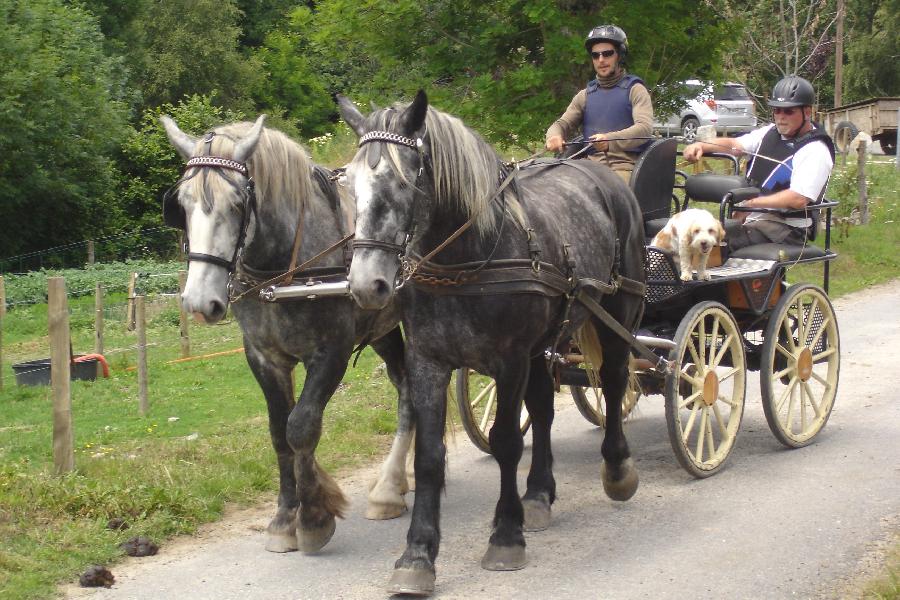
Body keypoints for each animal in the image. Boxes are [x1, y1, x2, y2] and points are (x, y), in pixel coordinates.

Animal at [161, 115, 412, 556]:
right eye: (183, 205)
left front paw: (312, 519)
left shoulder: (331, 351)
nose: (199, 302)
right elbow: (280, 433)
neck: (284, 272)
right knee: (403, 386)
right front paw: (284, 518)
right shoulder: (264, 356)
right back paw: (391, 486)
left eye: (237, 204)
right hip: (381, 325)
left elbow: (302, 426)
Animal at [340, 91, 648, 592]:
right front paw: (417, 555)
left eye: (402, 183)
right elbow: (429, 458)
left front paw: (505, 535)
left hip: (617, 312)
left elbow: (505, 441)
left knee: (616, 379)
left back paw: (618, 469)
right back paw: (538, 494)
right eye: (349, 184)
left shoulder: (509, 361)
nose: (367, 285)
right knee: (542, 408)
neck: (466, 261)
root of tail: (603, 176)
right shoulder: (428, 361)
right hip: (544, 344)